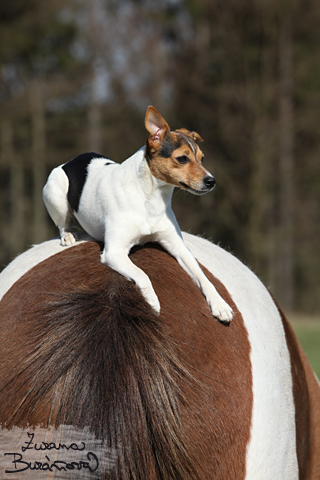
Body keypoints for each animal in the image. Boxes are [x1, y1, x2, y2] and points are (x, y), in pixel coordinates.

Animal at [42, 105, 232, 322]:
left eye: (202, 159)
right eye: (182, 158)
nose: (212, 181)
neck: (150, 197)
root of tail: (70, 161)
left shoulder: (178, 247)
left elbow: (203, 276)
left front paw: (219, 304)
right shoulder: (114, 252)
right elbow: (142, 274)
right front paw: (152, 302)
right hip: (55, 192)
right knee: (63, 223)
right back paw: (67, 236)